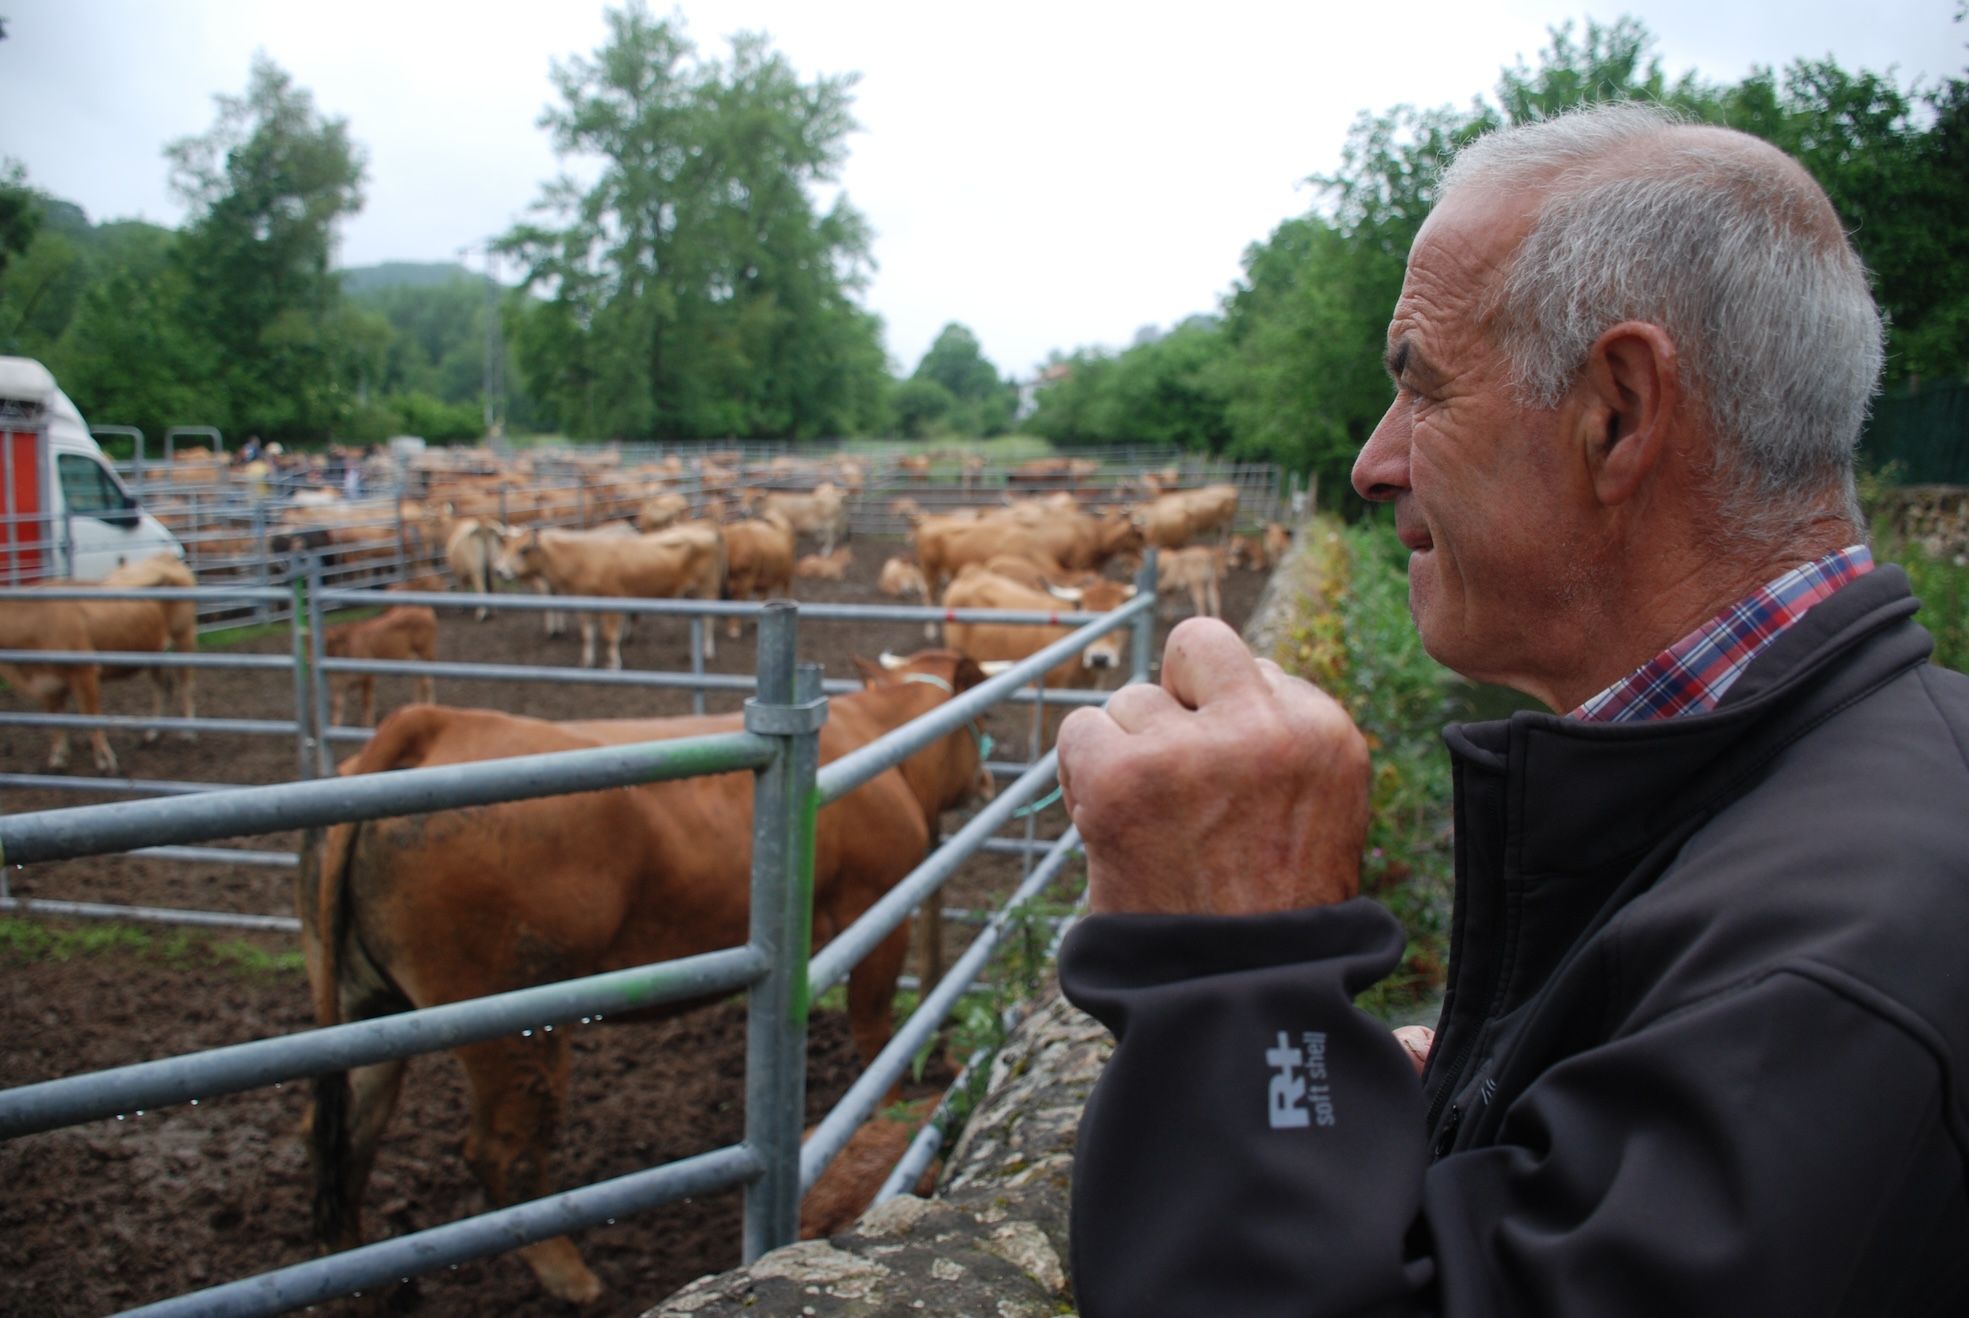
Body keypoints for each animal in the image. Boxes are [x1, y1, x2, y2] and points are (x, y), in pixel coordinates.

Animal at [0, 551, 197, 776]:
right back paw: (152, 734)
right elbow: (56, 720)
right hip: (154, 649)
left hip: (184, 636)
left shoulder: (85, 672)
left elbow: (91, 716)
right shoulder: (47, 684)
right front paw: (58, 757)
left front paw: (105, 761)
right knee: (161, 687)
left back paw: (188, 731)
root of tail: (164, 556)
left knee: (186, 684)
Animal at [297, 642, 992, 1300]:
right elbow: (876, 1031)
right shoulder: (879, 909)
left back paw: (355, 1280)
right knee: (501, 1151)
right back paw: (571, 1276)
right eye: (978, 715)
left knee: (341, 1137)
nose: (986, 780)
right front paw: (892, 1112)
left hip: (364, 1007)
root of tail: (432, 724)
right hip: (513, 1022)